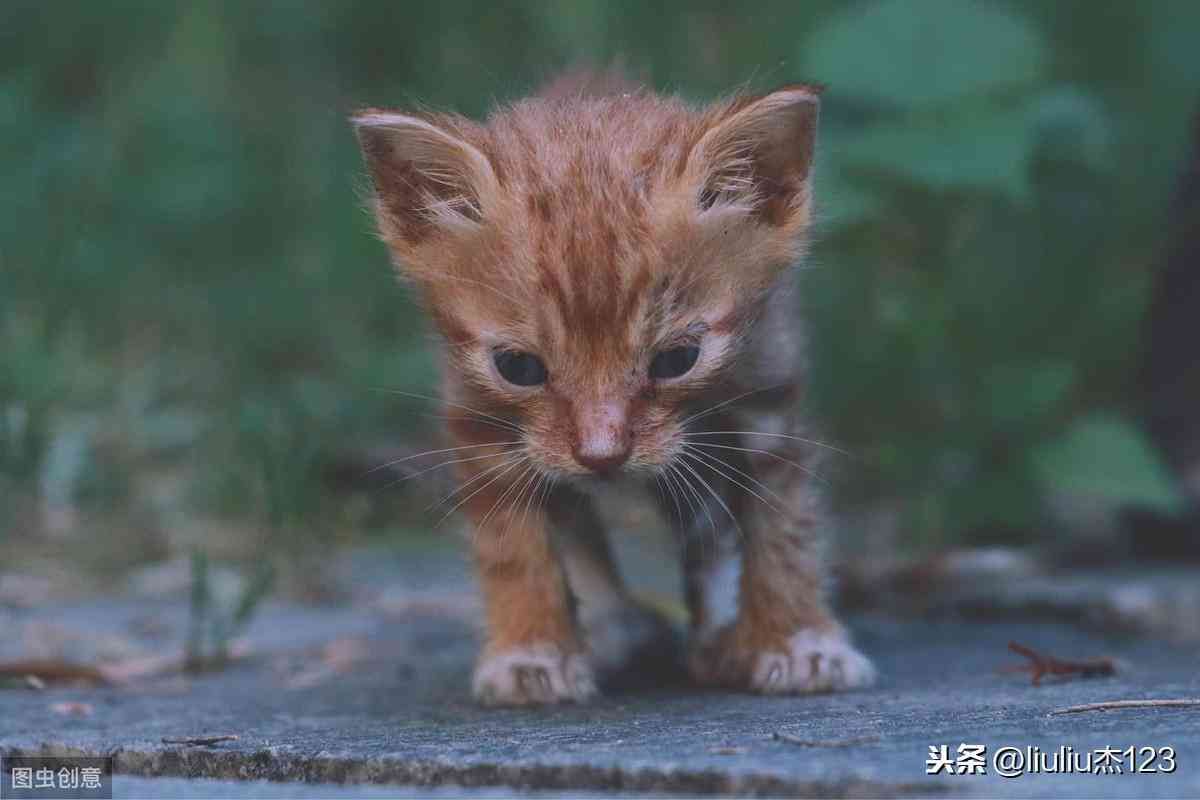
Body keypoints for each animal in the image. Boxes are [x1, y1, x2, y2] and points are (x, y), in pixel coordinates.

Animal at [350, 76, 878, 705]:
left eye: (677, 360)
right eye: (518, 367)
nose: (602, 456)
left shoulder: (769, 397)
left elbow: (783, 530)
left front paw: (796, 640)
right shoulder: (478, 421)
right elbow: (512, 543)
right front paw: (532, 649)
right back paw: (612, 625)